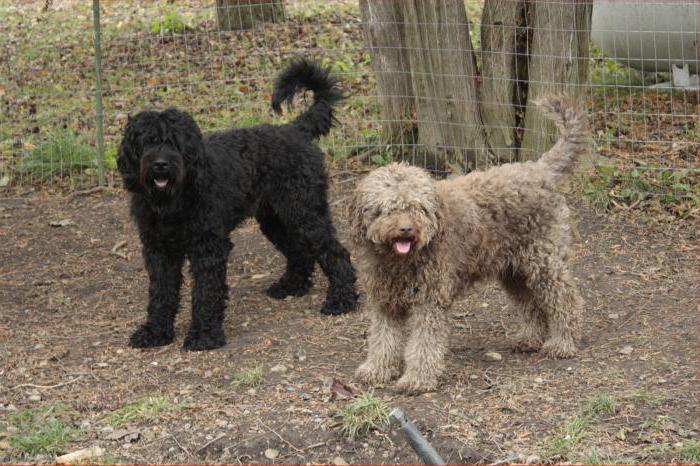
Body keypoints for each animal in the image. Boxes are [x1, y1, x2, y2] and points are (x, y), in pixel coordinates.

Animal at [118, 58, 358, 350]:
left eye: (174, 142)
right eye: (146, 142)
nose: (161, 164)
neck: (173, 201)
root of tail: (296, 129)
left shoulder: (209, 247)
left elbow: (206, 293)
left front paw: (204, 335)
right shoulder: (159, 250)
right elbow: (161, 294)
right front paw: (155, 332)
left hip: (306, 213)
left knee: (336, 253)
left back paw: (341, 300)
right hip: (276, 219)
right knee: (299, 251)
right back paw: (292, 286)